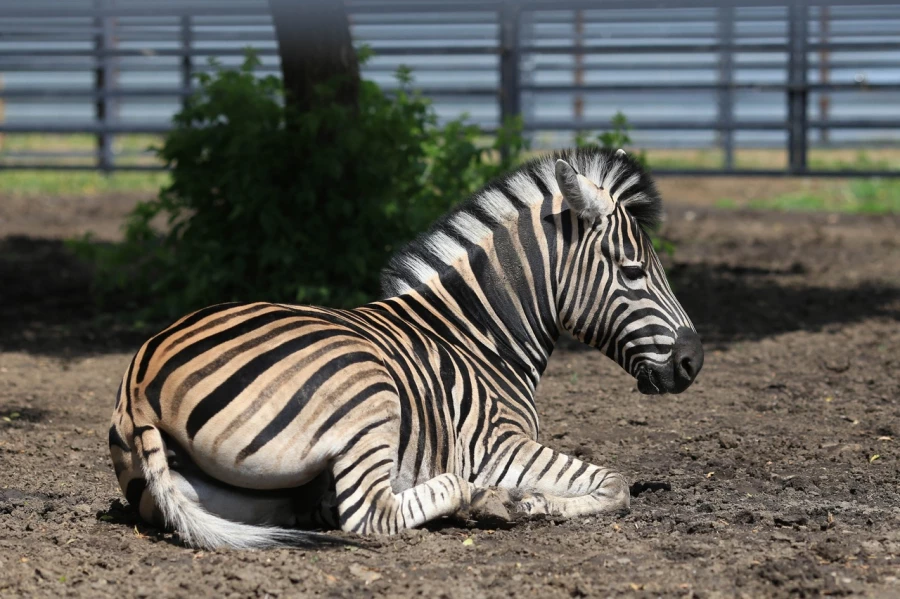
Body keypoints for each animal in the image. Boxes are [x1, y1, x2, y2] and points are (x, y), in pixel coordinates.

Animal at [107, 149, 704, 548]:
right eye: (632, 272)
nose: (692, 362)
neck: (478, 335)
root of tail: (140, 381)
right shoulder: (497, 446)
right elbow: (616, 485)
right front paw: (534, 500)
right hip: (365, 387)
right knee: (371, 514)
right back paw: (487, 500)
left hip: (242, 495)